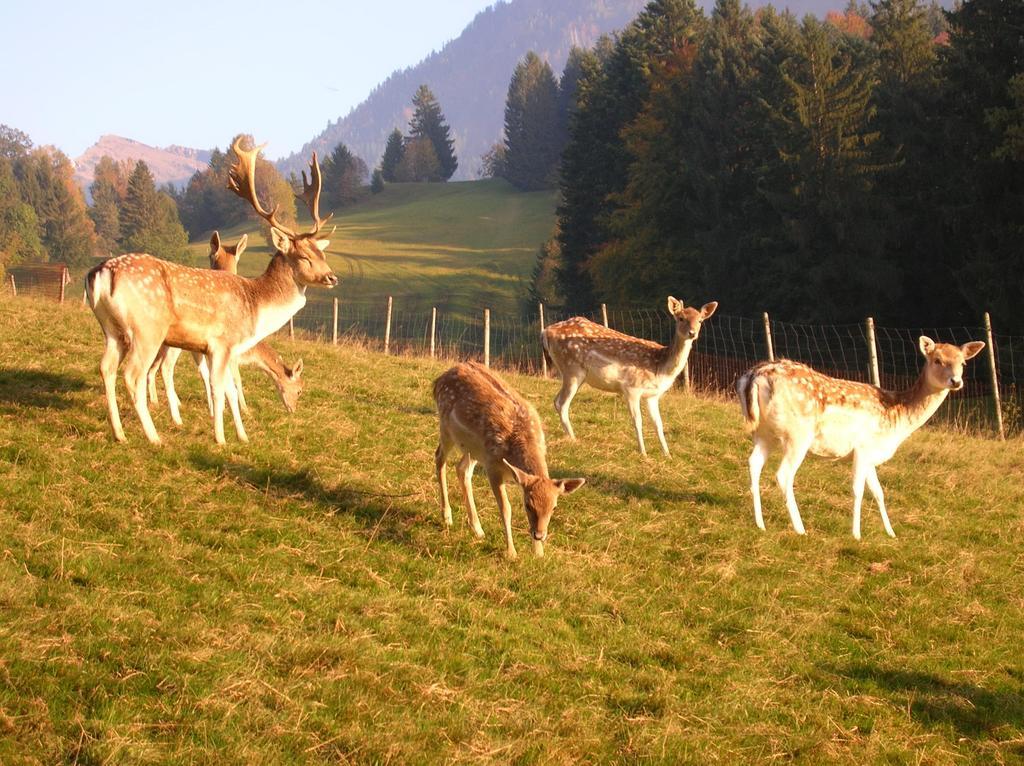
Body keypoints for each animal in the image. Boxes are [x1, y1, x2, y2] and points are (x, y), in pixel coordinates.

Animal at [432, 362, 585, 561]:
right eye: (528, 505)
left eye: (554, 507)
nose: (539, 534)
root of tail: (438, 380)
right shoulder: (492, 467)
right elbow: (506, 508)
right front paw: (512, 552)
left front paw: (538, 553)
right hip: (446, 428)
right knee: (439, 458)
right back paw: (447, 516)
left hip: (474, 449)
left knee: (462, 469)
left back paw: (477, 529)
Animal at [540, 296, 716, 454]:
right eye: (680, 318)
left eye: (700, 320)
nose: (692, 333)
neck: (660, 367)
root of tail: (545, 332)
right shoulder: (631, 388)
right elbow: (637, 421)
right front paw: (643, 453)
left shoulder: (652, 396)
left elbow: (658, 423)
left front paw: (667, 454)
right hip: (572, 370)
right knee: (561, 403)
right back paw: (573, 439)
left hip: (573, 373)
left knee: (557, 401)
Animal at [741, 337, 987, 540]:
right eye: (937, 360)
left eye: (963, 363)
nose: (956, 381)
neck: (897, 420)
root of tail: (755, 375)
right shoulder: (863, 447)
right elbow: (858, 490)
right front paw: (856, 534)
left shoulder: (871, 455)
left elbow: (879, 492)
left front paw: (891, 533)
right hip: (798, 434)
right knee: (783, 474)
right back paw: (800, 529)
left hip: (764, 433)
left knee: (753, 463)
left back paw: (760, 523)